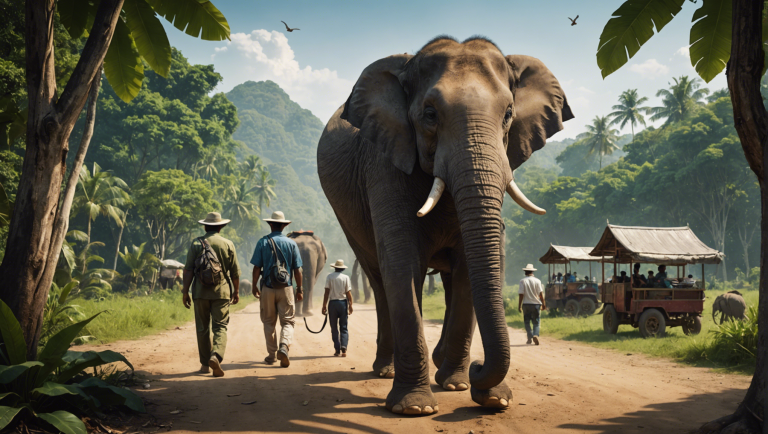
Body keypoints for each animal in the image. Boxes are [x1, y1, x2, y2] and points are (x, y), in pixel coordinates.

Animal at [317, 36, 572, 415]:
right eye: (430, 115)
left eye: (508, 114)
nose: (480, 369)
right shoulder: (384, 161)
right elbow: (402, 261)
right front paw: (414, 407)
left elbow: (474, 263)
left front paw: (475, 391)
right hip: (348, 218)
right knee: (379, 278)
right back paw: (387, 370)